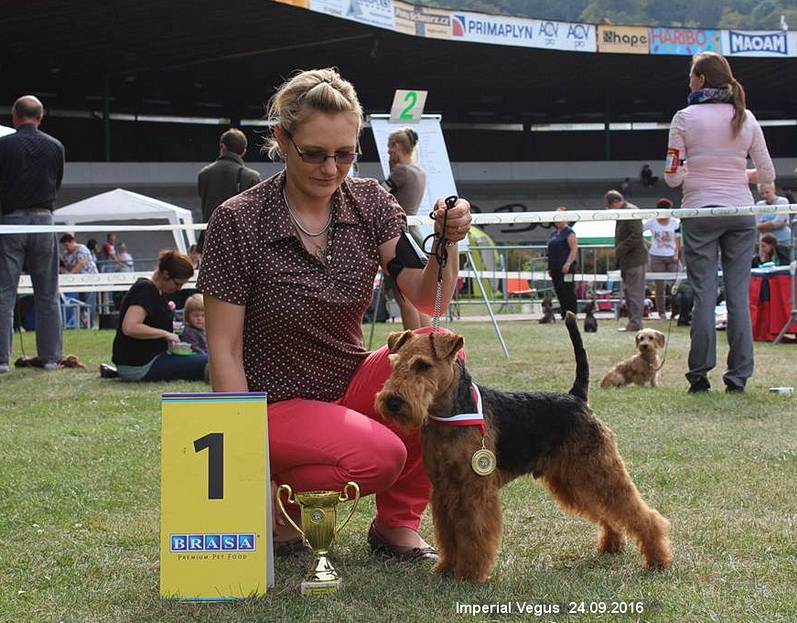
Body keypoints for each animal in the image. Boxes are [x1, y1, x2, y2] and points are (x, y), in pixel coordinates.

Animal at [375, 313, 672, 582]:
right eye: (394, 364)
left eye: (423, 365)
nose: (392, 402)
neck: (449, 414)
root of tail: (577, 397)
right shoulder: (444, 487)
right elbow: (449, 534)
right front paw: (447, 568)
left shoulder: (475, 489)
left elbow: (473, 533)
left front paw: (470, 574)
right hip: (575, 480)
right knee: (608, 512)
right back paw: (612, 545)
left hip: (598, 470)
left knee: (642, 514)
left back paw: (658, 559)